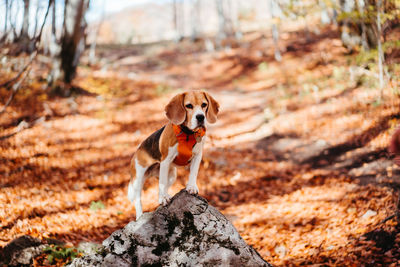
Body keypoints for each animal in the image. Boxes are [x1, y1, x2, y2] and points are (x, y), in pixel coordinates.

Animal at [128, 90, 220, 220]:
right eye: (189, 106)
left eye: (204, 104)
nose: (200, 117)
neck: (188, 134)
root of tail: (138, 149)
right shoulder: (166, 160)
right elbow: (161, 183)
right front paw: (163, 198)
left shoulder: (198, 156)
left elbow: (193, 173)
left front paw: (191, 186)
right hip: (138, 179)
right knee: (138, 199)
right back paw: (140, 215)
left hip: (172, 175)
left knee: (165, 185)